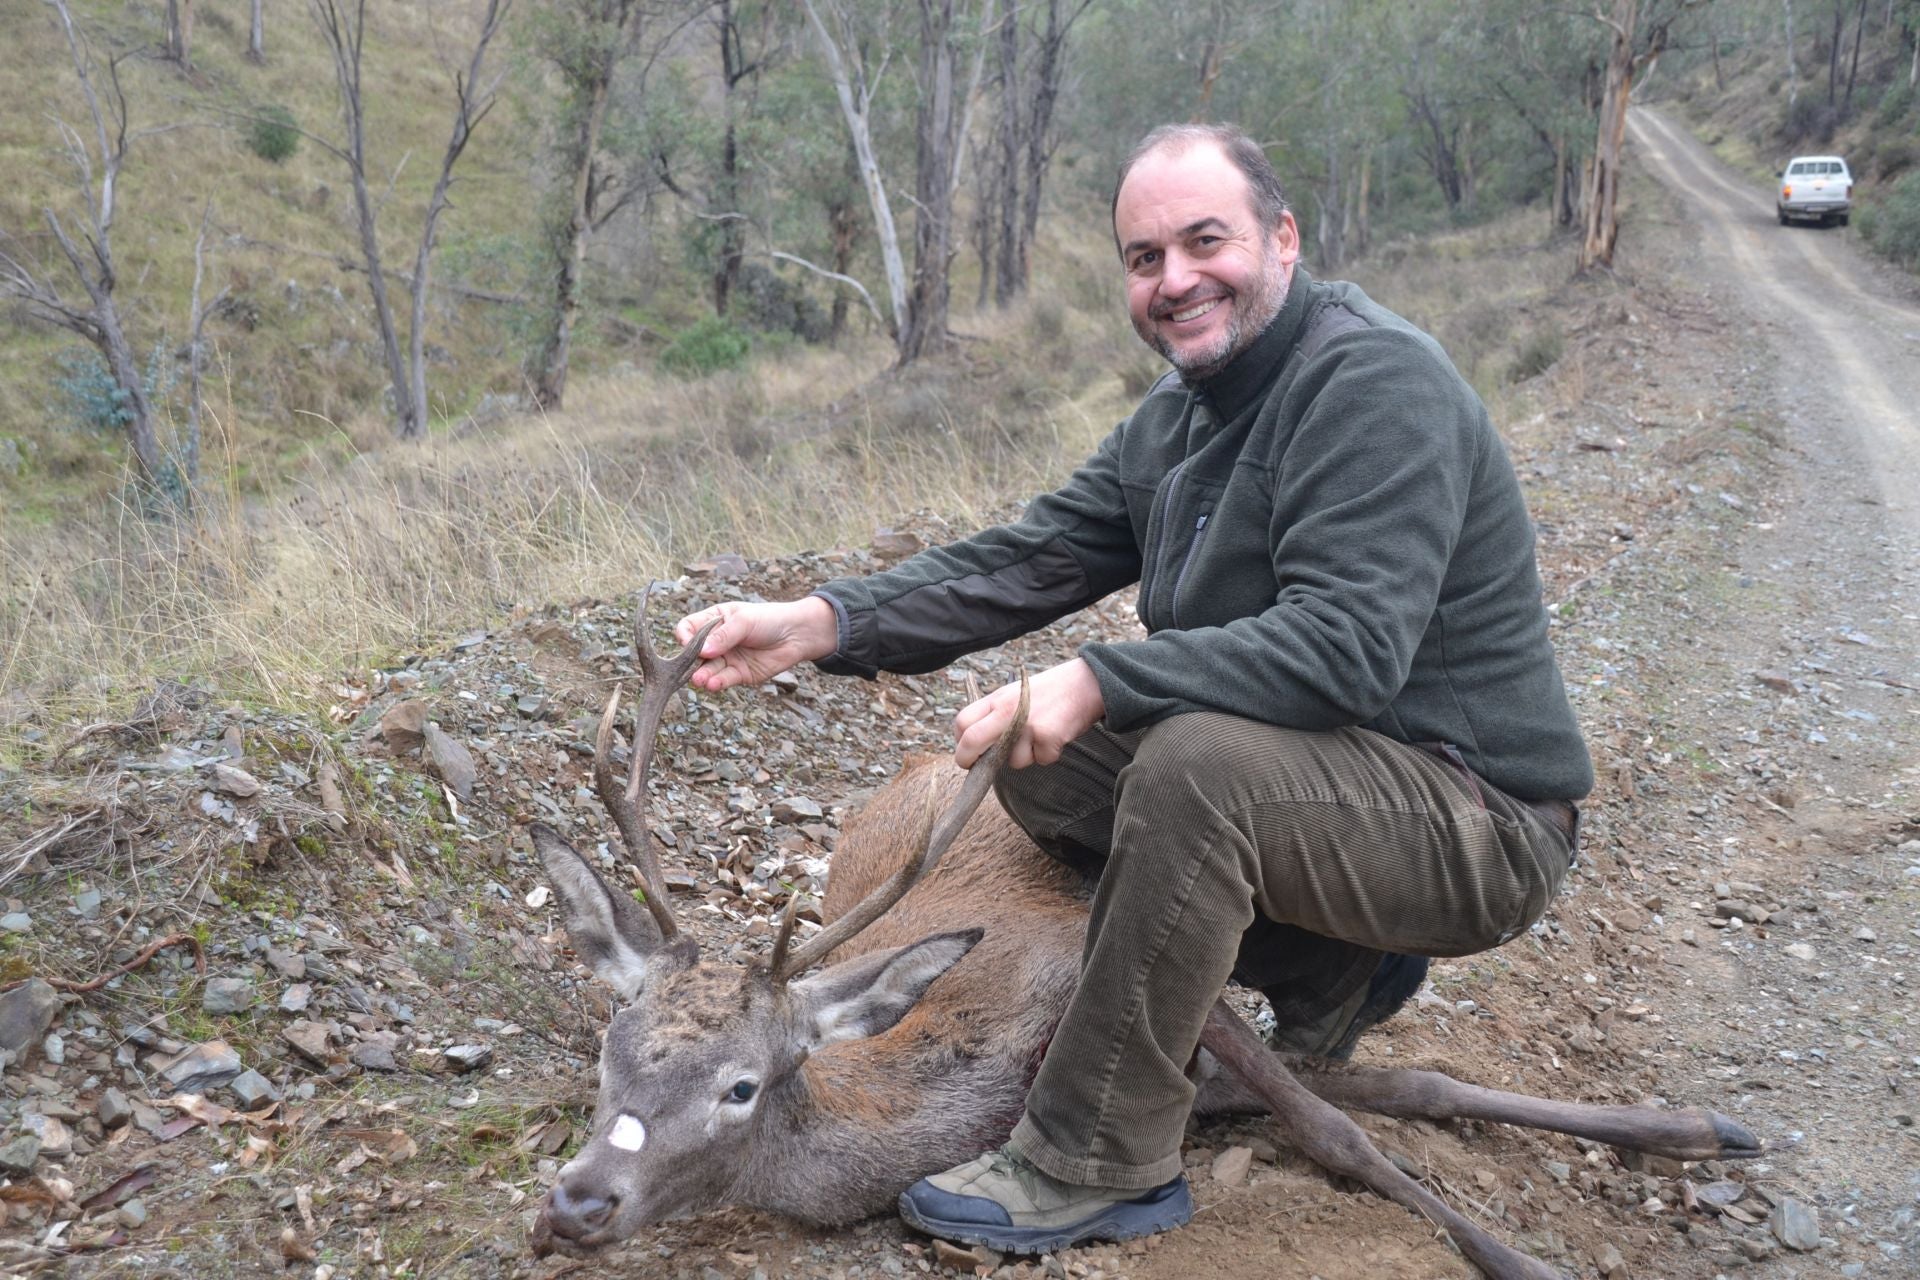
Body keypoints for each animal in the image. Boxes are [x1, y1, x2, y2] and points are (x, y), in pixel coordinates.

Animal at [526, 602, 1758, 1280]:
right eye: (609, 1055)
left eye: (740, 1085)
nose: (575, 1202)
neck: (957, 1082)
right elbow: (1391, 1092)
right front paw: (1696, 1127)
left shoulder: (1119, 962)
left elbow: (1347, 1121)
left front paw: (1538, 1241)